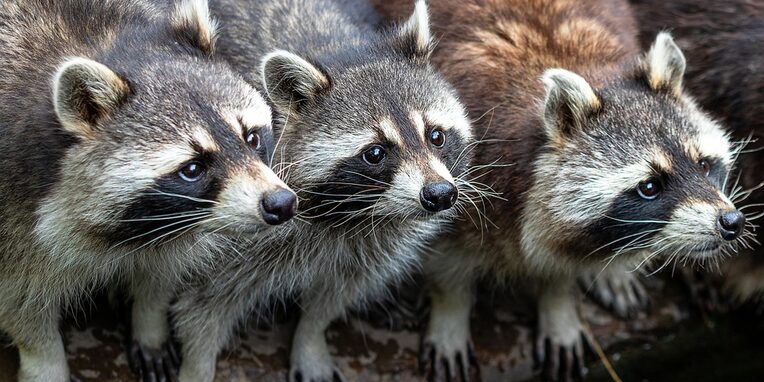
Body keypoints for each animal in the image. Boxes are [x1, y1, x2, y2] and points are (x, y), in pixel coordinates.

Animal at [0, 1, 296, 380]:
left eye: (252, 138)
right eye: (192, 169)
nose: (281, 203)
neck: (101, 42)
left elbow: (160, 271)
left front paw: (149, 320)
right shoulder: (13, 206)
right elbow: (22, 307)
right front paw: (46, 361)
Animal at [143, 0, 474, 382]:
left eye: (436, 135)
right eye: (375, 153)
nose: (439, 194)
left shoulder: (368, 247)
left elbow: (332, 298)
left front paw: (310, 337)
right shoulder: (227, 232)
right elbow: (202, 308)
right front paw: (197, 364)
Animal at [374, 0, 748, 380]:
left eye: (704, 165)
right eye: (649, 186)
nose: (730, 222)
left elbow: (560, 260)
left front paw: (558, 302)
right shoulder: (454, 176)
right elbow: (445, 258)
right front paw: (449, 312)